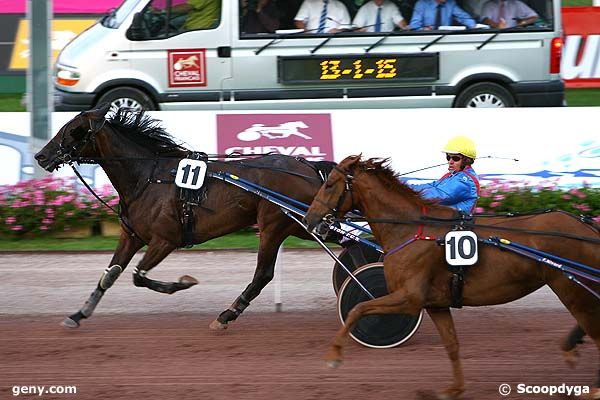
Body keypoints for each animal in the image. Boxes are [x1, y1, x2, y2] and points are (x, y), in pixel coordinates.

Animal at [34, 105, 338, 332]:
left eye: (73, 131)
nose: (41, 155)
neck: (147, 177)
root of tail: (309, 167)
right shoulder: (132, 236)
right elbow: (109, 276)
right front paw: (78, 314)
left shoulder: (165, 240)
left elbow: (139, 276)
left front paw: (183, 283)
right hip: (302, 225)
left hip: (275, 225)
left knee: (263, 274)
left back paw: (226, 315)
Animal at [304, 155, 600, 400]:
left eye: (329, 184)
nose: (309, 219)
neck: (412, 230)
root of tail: (586, 225)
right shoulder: (436, 303)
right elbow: (452, 345)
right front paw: (454, 389)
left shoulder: (409, 298)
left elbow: (358, 308)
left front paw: (334, 355)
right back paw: (571, 348)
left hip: (570, 288)